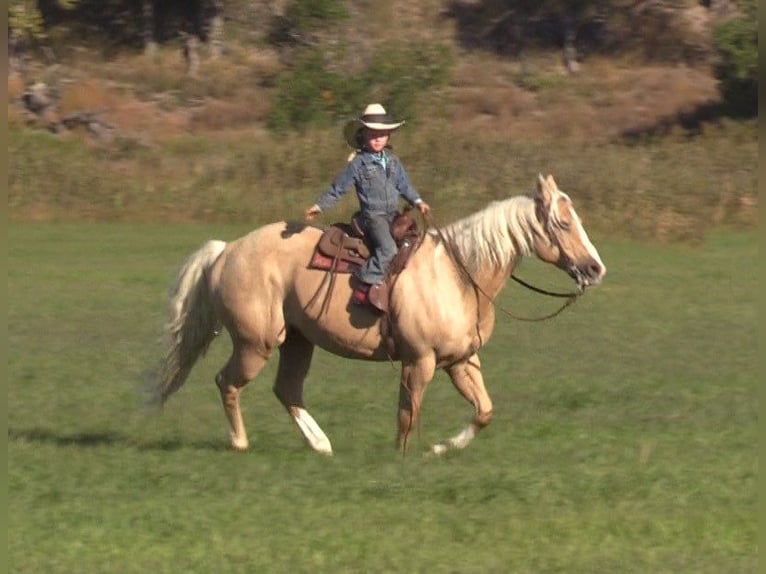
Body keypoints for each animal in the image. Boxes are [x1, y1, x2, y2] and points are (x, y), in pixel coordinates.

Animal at [154, 173, 608, 456]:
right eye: (563, 224)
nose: (595, 268)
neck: (458, 275)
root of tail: (226, 251)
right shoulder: (418, 361)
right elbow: (407, 416)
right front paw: (404, 458)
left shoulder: (461, 361)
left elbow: (483, 412)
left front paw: (440, 448)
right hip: (256, 343)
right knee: (228, 383)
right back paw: (241, 443)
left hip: (297, 342)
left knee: (287, 390)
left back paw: (322, 445)